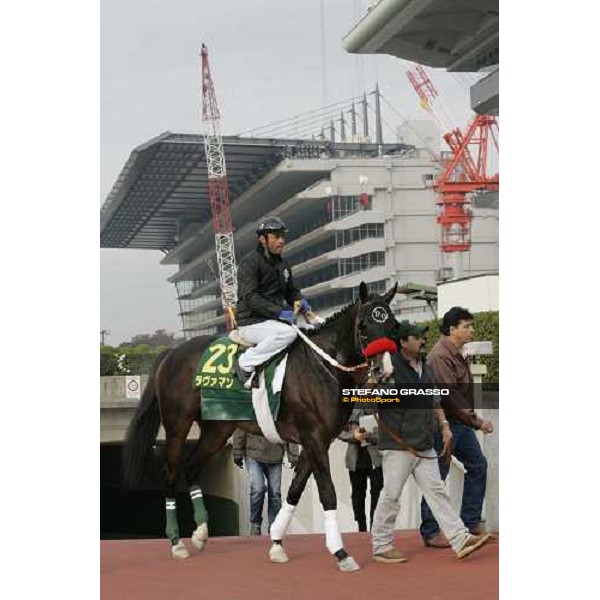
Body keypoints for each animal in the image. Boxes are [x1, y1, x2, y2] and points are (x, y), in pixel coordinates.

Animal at [123, 282, 398, 572]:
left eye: (393, 326)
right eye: (364, 326)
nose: (384, 371)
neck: (321, 366)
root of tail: (171, 353)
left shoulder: (316, 441)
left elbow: (294, 489)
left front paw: (276, 542)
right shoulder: (314, 438)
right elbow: (327, 493)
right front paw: (341, 552)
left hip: (216, 430)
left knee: (191, 467)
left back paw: (200, 533)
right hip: (178, 425)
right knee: (170, 472)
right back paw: (176, 543)